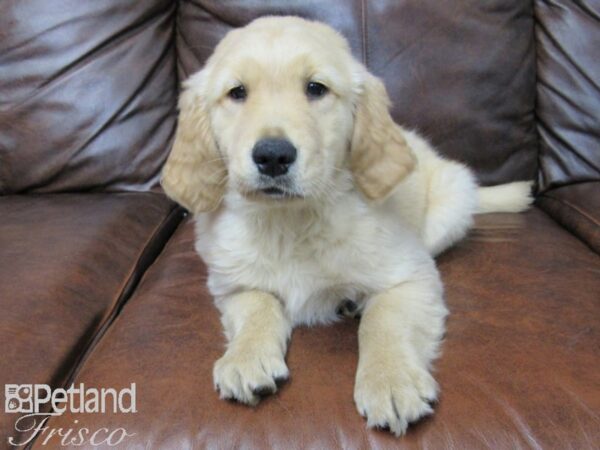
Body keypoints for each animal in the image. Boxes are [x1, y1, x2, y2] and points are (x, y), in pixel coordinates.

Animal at [159, 15, 528, 434]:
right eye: (237, 93)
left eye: (315, 88)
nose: (273, 156)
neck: (290, 221)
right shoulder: (231, 284)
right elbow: (258, 305)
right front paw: (245, 358)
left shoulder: (410, 275)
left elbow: (383, 320)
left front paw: (391, 380)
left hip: (452, 199)